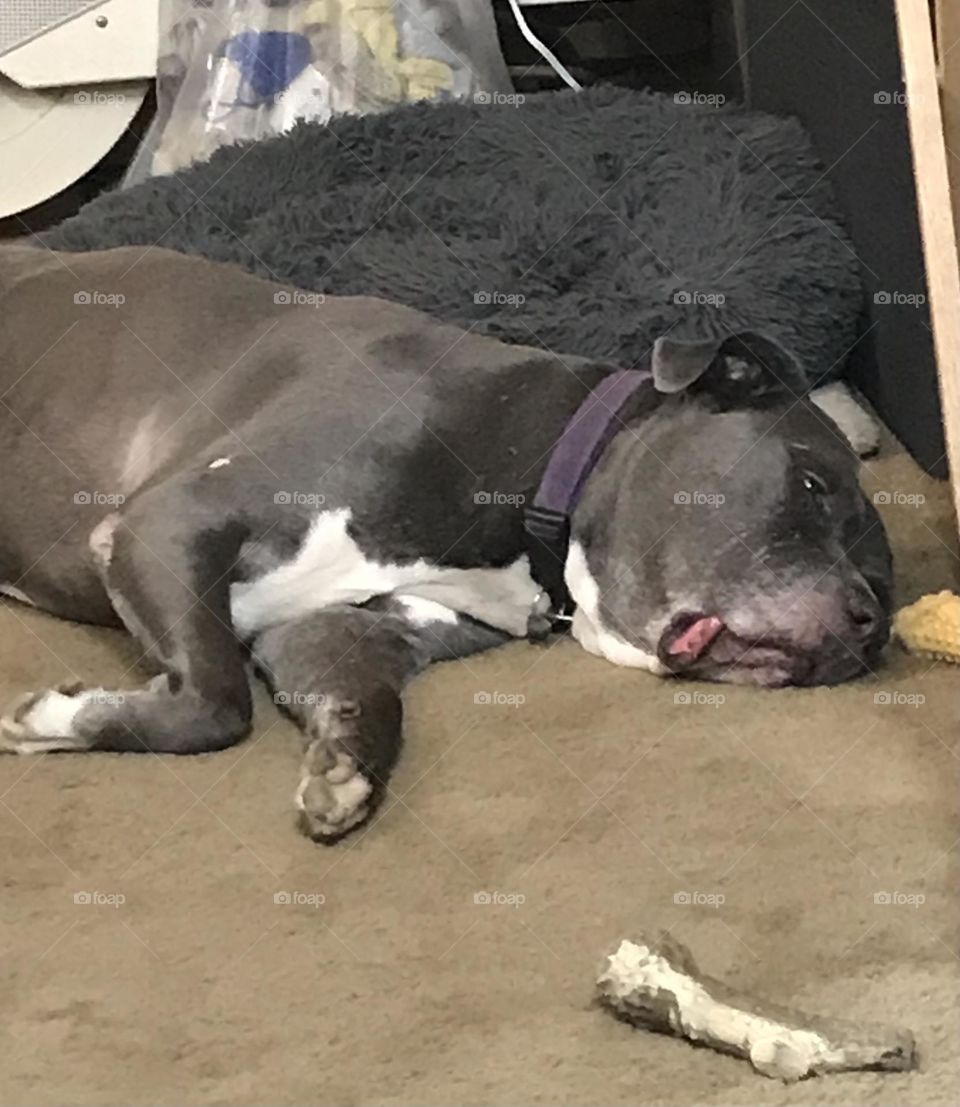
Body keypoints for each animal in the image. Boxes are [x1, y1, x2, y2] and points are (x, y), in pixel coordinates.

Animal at [0, 249, 894, 836]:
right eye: (810, 485)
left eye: (883, 586)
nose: (868, 625)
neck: (533, 462)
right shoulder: (168, 520)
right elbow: (216, 704)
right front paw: (52, 715)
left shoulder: (340, 623)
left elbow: (361, 693)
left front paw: (344, 766)